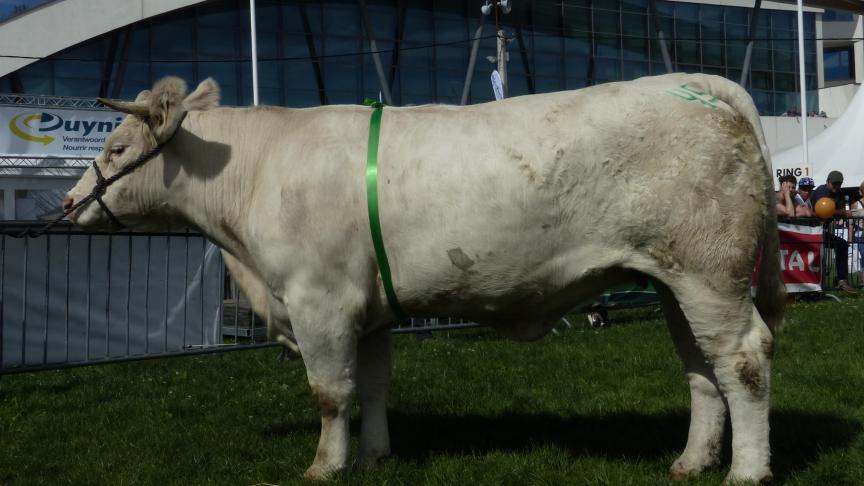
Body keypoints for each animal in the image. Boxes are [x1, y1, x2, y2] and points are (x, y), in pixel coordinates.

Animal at [66, 73, 784, 482]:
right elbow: (372, 385)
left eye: (117, 149)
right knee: (699, 368)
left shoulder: (318, 300)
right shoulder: (366, 306)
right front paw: (375, 456)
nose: (70, 204)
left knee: (742, 360)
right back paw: (691, 462)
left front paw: (324, 466)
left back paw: (746, 473)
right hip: (672, 279)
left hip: (709, 272)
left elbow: (330, 392)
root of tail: (689, 85)